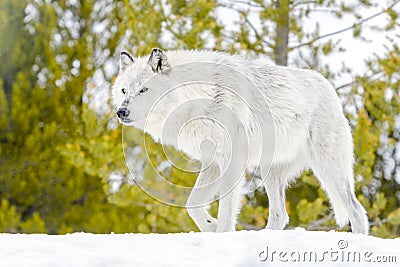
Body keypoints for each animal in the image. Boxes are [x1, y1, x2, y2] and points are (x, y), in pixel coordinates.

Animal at [111, 48, 368, 234]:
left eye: (144, 89)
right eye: (124, 91)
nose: (121, 112)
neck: (202, 96)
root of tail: (329, 87)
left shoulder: (232, 160)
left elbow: (226, 210)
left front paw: (222, 233)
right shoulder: (212, 161)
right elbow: (192, 205)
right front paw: (210, 227)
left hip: (327, 168)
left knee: (357, 211)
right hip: (270, 172)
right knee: (280, 214)